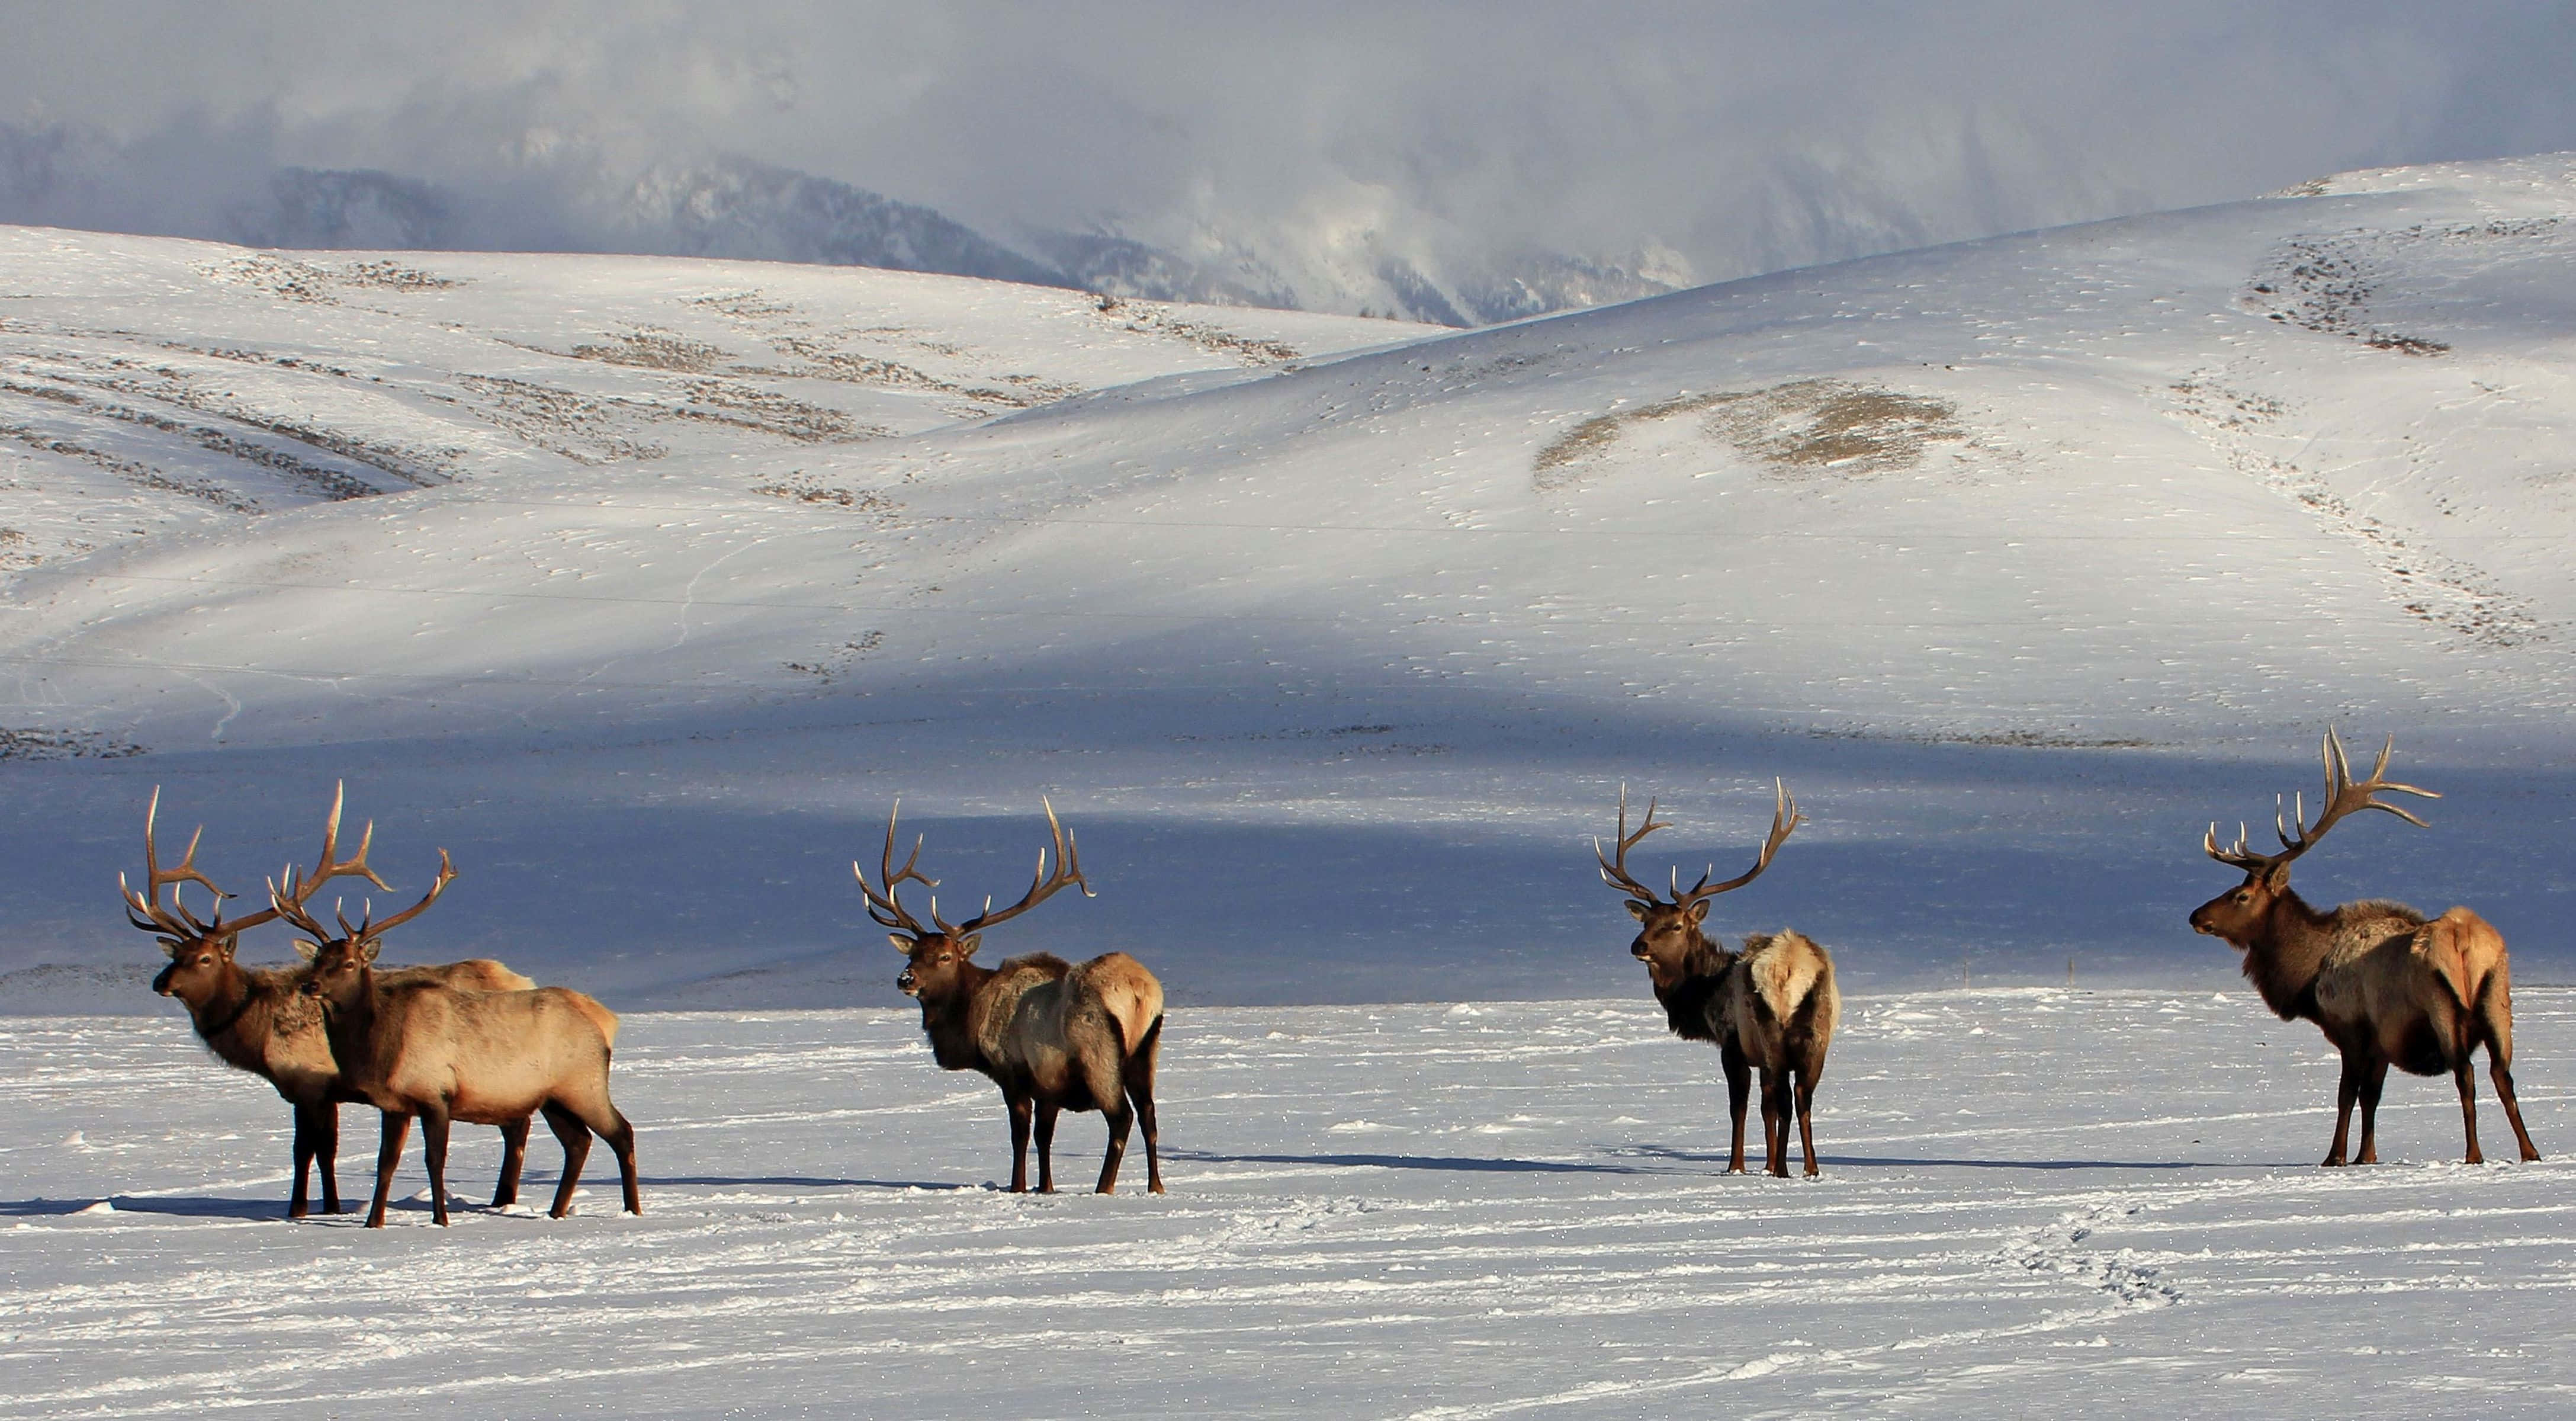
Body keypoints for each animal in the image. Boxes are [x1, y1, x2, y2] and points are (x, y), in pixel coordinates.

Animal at [124, 785, 537, 1218]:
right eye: (176, 954)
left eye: (205, 958)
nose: (160, 982)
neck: (259, 1032)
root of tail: (523, 979)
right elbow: (327, 1151)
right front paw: (331, 1206)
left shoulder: (311, 1083)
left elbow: (307, 1150)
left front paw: (300, 1209)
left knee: (517, 1126)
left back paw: (503, 1200)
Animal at [280, 848, 639, 1228]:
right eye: (319, 959)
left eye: (350, 963)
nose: (310, 985)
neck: (381, 1051)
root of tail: (603, 1025)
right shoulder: (394, 1105)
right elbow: (386, 1163)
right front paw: (373, 1222)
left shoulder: (436, 1093)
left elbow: (434, 1160)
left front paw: (441, 1220)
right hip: (553, 1097)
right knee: (578, 1142)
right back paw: (556, 1212)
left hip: (584, 1083)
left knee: (621, 1131)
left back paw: (632, 1209)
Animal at [855, 800, 1166, 1195]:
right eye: (912, 955)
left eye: (946, 957)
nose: (905, 979)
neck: (972, 1020)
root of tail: (1139, 991)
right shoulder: (1048, 1084)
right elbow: (1045, 1138)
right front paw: (1045, 1188)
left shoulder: (1013, 1071)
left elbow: (1020, 1135)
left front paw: (1017, 1186)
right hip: (1147, 1049)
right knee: (1149, 1115)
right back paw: (1155, 1187)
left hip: (1098, 1052)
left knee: (1121, 1117)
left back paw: (1103, 1188)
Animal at [1596, 782, 1840, 1178]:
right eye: (1646, 921)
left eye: (1676, 925)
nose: (1638, 946)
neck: (1703, 992)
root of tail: (1790, 966)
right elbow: (1765, 1108)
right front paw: (1766, 1164)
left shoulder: (1732, 1042)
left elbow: (1741, 1106)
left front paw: (1737, 1167)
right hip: (1818, 1032)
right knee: (1803, 1096)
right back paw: (1810, 1169)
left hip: (1768, 1029)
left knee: (1785, 1099)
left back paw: (1784, 1170)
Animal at [2190, 729, 2539, 1167]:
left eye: (2241, 895)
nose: (2196, 916)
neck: (2308, 974)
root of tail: (2463, 938)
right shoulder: (2382, 1040)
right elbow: (2372, 1097)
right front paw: (2366, 1156)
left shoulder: (2351, 1027)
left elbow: (2347, 1095)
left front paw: (2335, 1157)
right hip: (2498, 1000)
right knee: (2502, 1073)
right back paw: (2530, 1152)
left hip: (2442, 1005)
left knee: (2466, 1073)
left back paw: (2474, 1154)